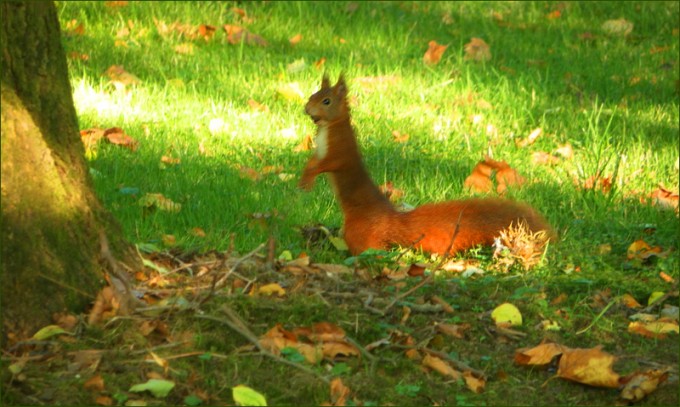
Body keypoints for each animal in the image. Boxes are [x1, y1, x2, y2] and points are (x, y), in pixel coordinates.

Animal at [299, 75, 554, 256]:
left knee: (372, 249)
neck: (329, 126)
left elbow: (325, 165)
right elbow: (312, 162)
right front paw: (304, 179)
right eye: (313, 94)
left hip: (359, 231)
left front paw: (308, 180)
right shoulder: (319, 152)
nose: (306, 109)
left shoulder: (339, 153)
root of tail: (391, 221)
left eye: (326, 101)